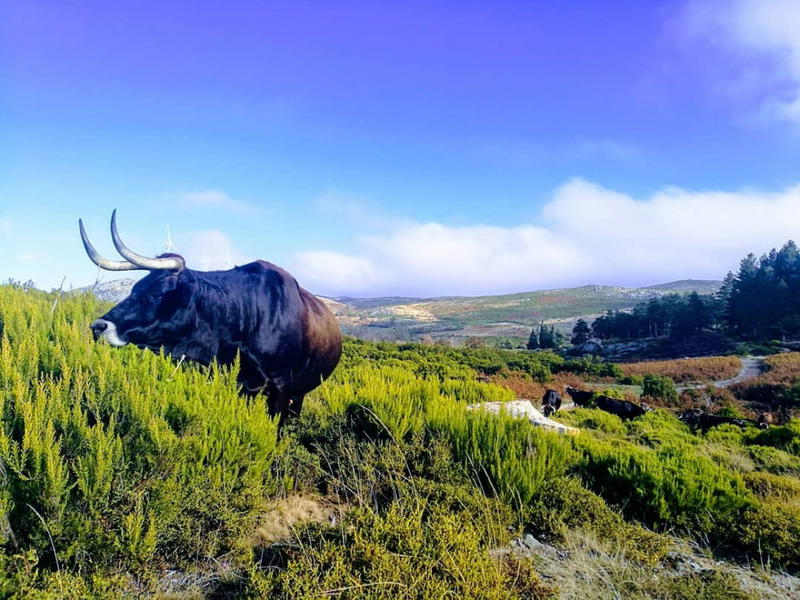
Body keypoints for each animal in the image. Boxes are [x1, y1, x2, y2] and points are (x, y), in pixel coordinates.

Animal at [79, 210, 342, 422]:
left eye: (155, 293)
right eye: (134, 288)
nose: (98, 326)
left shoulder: (281, 387)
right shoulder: (239, 384)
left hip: (301, 391)